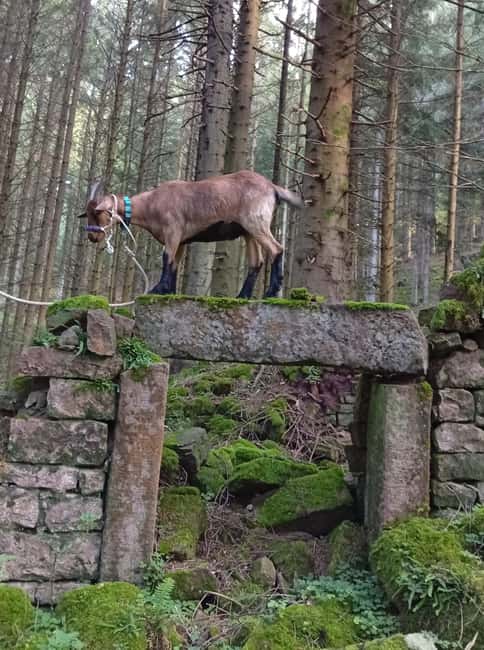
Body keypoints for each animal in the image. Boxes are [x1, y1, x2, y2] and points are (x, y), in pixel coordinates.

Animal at [77, 170, 303, 298]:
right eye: (87, 214)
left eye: (98, 213)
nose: (93, 237)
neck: (152, 203)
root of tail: (272, 187)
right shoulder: (182, 240)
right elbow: (174, 264)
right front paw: (168, 291)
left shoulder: (173, 231)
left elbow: (166, 258)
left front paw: (157, 289)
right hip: (247, 231)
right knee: (256, 262)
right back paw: (243, 296)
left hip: (255, 221)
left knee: (276, 249)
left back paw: (270, 292)